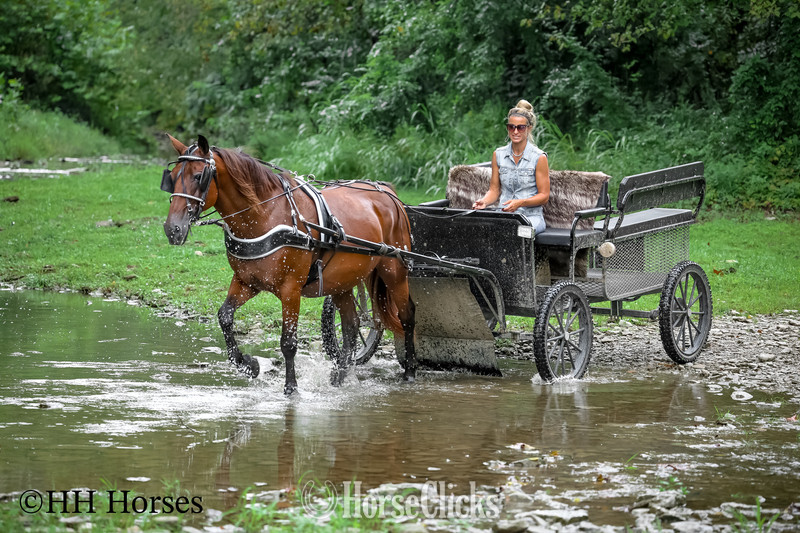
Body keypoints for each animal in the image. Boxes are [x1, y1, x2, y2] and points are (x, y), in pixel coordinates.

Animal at [160, 134, 417, 395]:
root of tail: (387, 192)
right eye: (172, 177)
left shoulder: (290, 290)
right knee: (352, 325)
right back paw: (340, 375)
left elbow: (288, 342)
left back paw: (410, 370)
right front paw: (248, 365)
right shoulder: (246, 282)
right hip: (341, 280)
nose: (173, 229)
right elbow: (225, 317)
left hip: (394, 271)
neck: (265, 215)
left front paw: (291, 387)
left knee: (407, 315)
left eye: (198, 176)